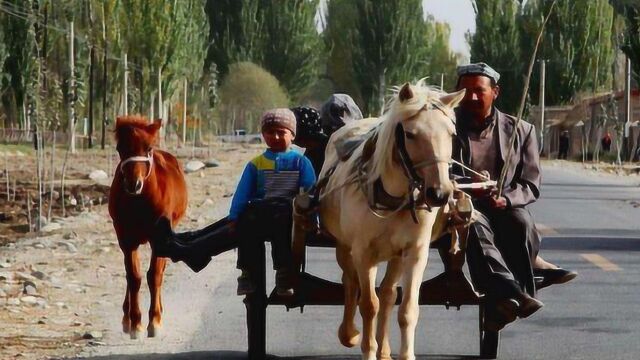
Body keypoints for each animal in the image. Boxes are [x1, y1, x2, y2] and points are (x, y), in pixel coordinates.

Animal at [108, 116, 186, 338]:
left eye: (148, 147)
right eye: (120, 148)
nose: (133, 184)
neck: (140, 201)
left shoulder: (160, 238)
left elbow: (154, 276)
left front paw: (154, 321)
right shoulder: (126, 239)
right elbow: (134, 277)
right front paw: (135, 323)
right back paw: (126, 318)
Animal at [320, 82, 464, 360]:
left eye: (451, 134)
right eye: (410, 134)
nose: (439, 194)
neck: (392, 198)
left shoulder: (415, 252)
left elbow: (407, 308)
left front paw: (404, 354)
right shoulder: (363, 253)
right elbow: (368, 304)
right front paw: (367, 349)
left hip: (395, 256)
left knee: (387, 295)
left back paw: (384, 349)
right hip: (345, 247)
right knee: (351, 284)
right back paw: (349, 333)